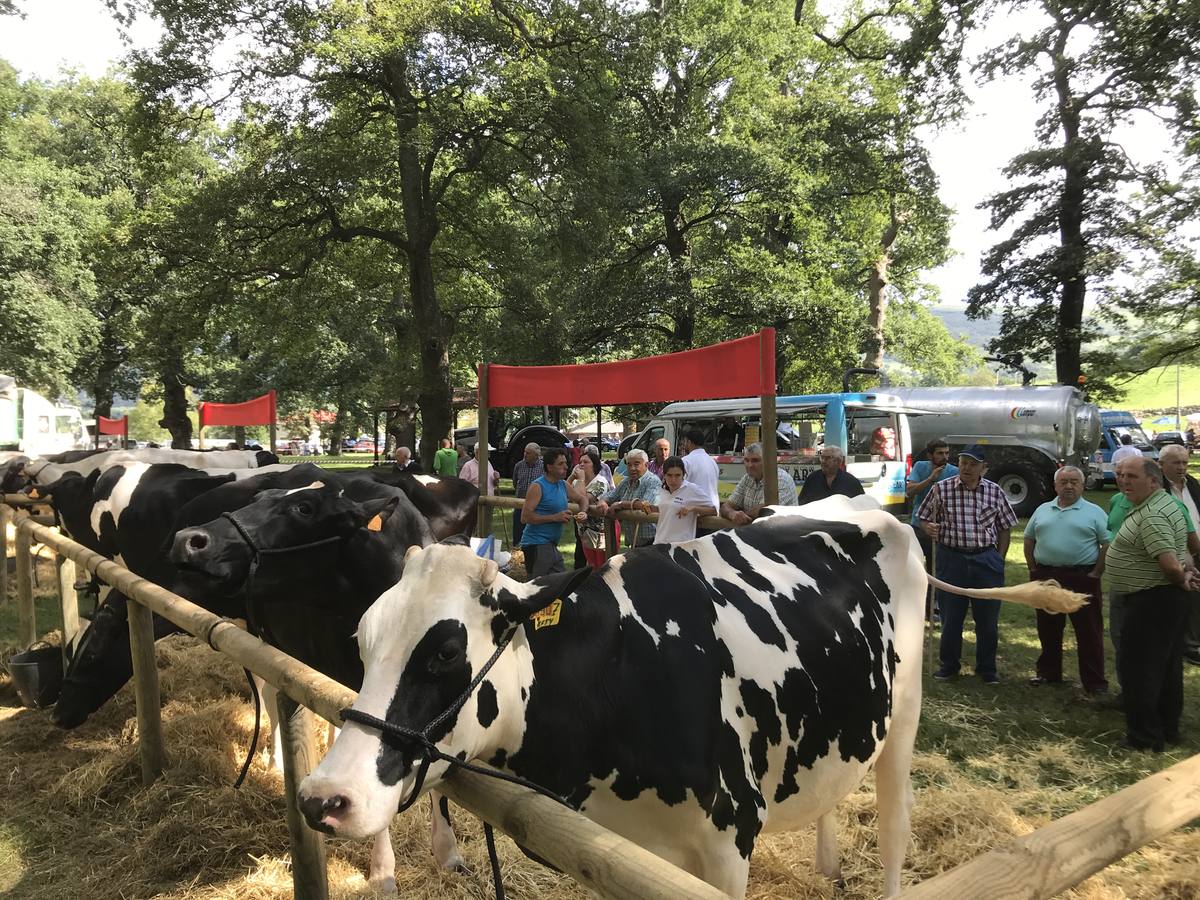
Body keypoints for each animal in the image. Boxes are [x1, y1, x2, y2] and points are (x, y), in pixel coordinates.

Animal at [300, 496, 1089, 897]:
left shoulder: (728, 840)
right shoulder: (616, 851)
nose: (322, 798)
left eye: (444, 652)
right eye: (363, 640)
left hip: (905, 715)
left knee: (895, 826)